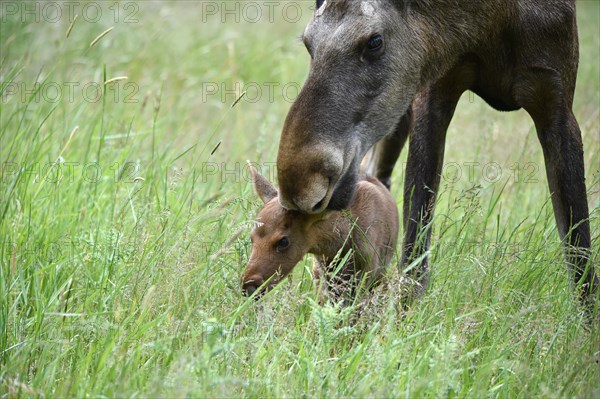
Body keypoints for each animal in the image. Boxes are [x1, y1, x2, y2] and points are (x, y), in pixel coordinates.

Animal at [274, 0, 596, 310]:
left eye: (374, 41)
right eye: (308, 42)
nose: (299, 183)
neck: (494, 20)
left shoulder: (556, 105)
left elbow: (581, 259)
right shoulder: (432, 95)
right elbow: (414, 261)